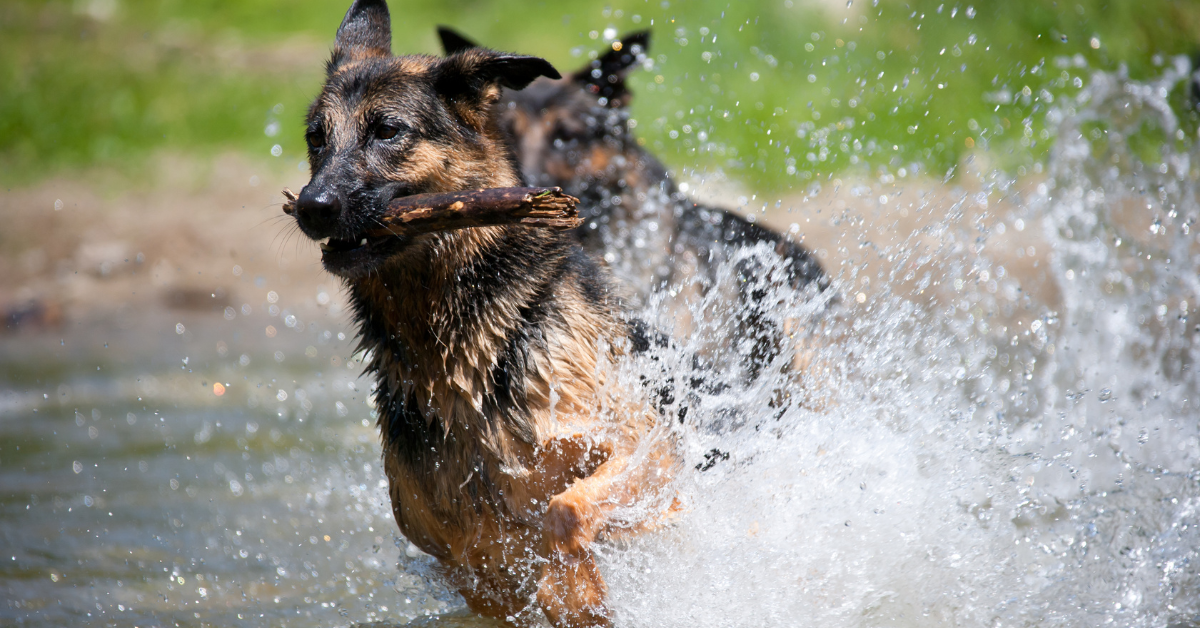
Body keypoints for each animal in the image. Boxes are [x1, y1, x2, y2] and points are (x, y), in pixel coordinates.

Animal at [288, 2, 676, 624]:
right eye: (316, 138)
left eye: (387, 131)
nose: (311, 207)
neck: (463, 345)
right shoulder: (449, 546)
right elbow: (496, 559)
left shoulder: (650, 450)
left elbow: (565, 513)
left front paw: (577, 591)